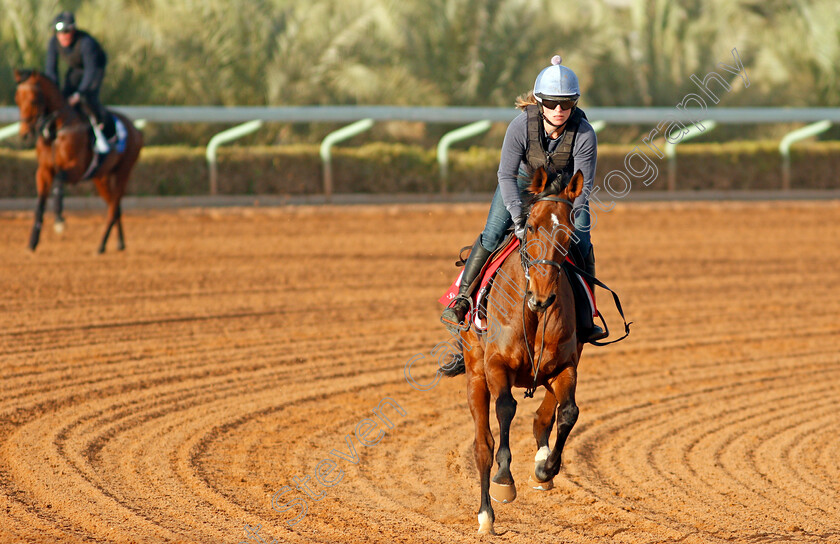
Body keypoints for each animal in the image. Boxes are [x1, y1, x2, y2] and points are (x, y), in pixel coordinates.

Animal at [13, 68, 143, 253]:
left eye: (32, 99)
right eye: (17, 99)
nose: (24, 133)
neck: (56, 132)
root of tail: (135, 129)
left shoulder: (76, 170)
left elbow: (59, 182)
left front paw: (59, 220)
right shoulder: (44, 171)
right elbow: (40, 204)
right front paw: (32, 242)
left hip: (123, 172)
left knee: (114, 207)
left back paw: (102, 245)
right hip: (100, 177)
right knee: (115, 206)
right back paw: (119, 243)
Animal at [452, 168, 584, 532]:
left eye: (569, 232)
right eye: (533, 226)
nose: (542, 295)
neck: (533, 313)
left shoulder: (565, 366)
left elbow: (567, 413)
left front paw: (545, 469)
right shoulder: (496, 365)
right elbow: (506, 409)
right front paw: (503, 480)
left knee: (544, 416)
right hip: (475, 373)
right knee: (482, 443)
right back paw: (486, 515)